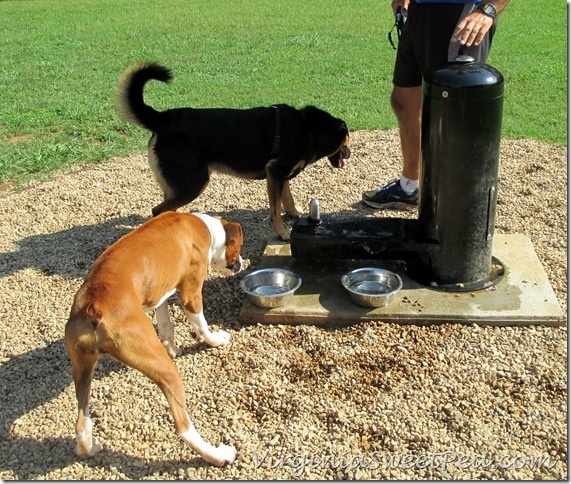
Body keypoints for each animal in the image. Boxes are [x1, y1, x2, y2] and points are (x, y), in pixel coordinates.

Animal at [65, 211, 244, 466]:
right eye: (239, 247)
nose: (241, 264)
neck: (203, 227)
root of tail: (94, 303)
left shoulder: (161, 294)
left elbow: (166, 325)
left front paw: (173, 348)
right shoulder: (190, 294)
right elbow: (201, 324)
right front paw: (214, 340)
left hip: (82, 369)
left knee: (81, 423)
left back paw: (88, 449)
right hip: (164, 370)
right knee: (183, 428)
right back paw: (219, 456)